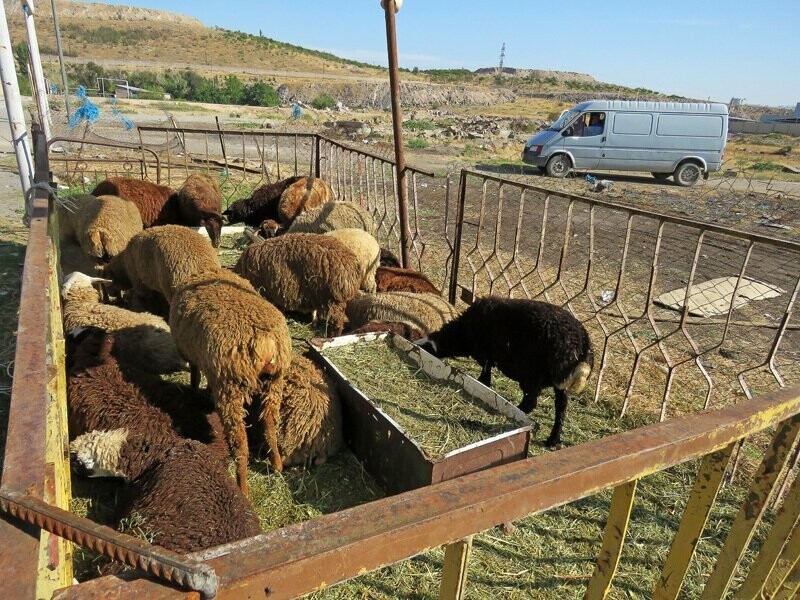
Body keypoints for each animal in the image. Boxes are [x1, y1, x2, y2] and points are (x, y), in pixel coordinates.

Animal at [170, 270, 292, 494]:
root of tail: (265, 342)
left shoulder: (193, 356)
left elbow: (194, 376)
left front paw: (194, 392)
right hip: (274, 382)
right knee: (270, 424)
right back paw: (277, 464)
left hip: (230, 387)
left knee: (240, 445)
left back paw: (242, 487)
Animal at [412, 298, 592, 448]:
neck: (462, 332)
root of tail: (581, 346)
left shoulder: (485, 354)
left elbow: (485, 375)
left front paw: (484, 384)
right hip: (559, 383)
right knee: (561, 407)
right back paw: (552, 440)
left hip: (533, 375)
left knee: (530, 402)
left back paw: (517, 412)